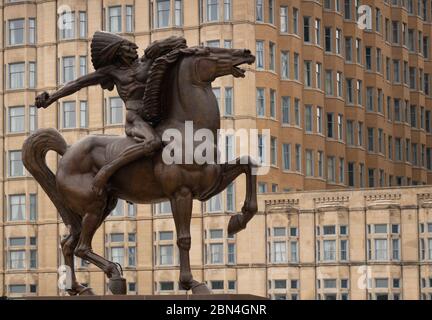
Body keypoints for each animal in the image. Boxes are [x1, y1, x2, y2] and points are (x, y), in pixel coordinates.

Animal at [22, 45, 256, 296]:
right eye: (208, 51)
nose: (247, 52)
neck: (188, 131)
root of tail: (67, 152)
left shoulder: (209, 187)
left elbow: (248, 164)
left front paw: (238, 221)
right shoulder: (181, 193)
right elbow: (184, 238)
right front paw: (192, 283)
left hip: (101, 207)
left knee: (68, 243)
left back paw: (80, 287)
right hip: (93, 206)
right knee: (81, 248)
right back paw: (113, 275)